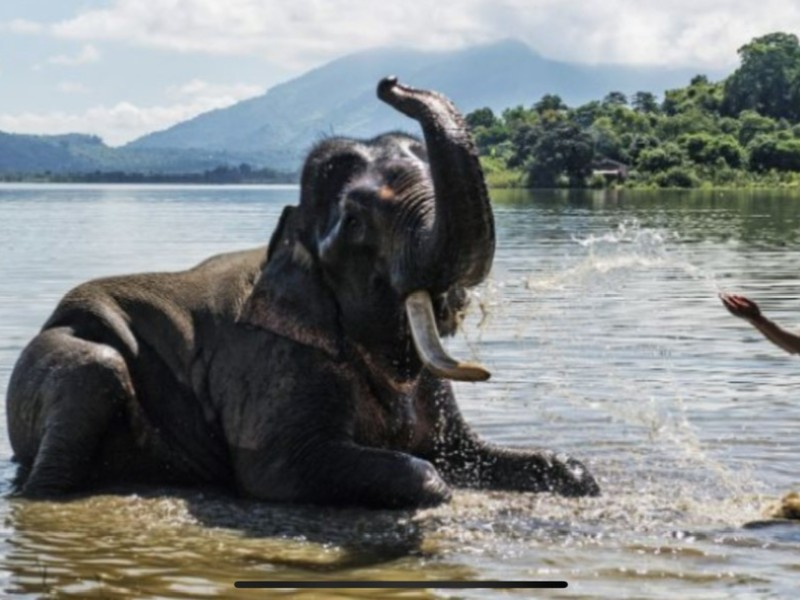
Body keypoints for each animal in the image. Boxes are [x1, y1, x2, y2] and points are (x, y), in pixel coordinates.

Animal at [6, 78, 600, 509]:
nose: (389, 83)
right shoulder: (271, 361)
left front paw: (579, 475)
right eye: (355, 222)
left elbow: (464, 450)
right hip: (58, 359)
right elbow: (280, 469)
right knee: (94, 372)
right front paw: (435, 486)